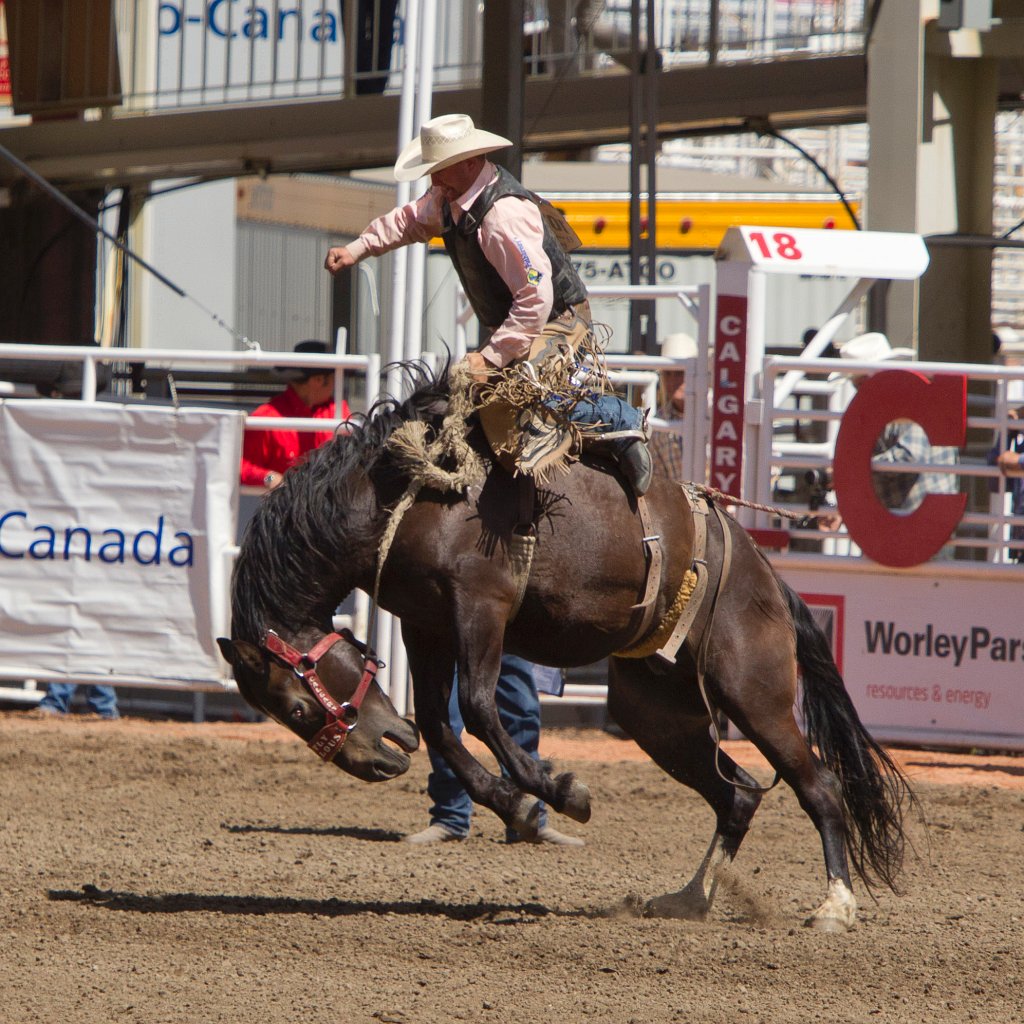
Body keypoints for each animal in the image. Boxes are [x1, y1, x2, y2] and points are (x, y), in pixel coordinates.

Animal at [218, 366, 913, 929]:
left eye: (297, 708)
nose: (378, 762)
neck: (406, 497)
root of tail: (763, 572)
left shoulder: (482, 606)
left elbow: (478, 708)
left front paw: (560, 793)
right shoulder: (426, 624)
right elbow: (440, 725)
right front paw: (518, 808)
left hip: (753, 690)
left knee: (819, 785)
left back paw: (834, 907)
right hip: (656, 712)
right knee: (737, 794)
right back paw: (690, 899)